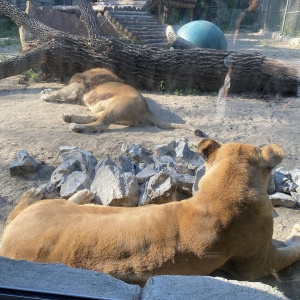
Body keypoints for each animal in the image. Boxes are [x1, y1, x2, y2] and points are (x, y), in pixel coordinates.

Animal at [0, 139, 300, 284]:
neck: (227, 185)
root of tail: (7, 242)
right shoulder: (257, 263)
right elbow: (291, 251)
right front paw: (296, 232)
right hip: (50, 207)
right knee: (25, 206)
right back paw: (57, 192)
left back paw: (82, 194)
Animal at [40, 68, 202, 135]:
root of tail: (146, 108)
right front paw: (45, 91)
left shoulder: (80, 85)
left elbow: (60, 91)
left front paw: (46, 96)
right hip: (106, 106)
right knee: (95, 117)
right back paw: (69, 117)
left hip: (116, 107)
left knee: (101, 124)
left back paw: (77, 126)